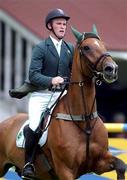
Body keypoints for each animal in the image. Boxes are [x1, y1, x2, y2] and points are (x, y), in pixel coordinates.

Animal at [0, 25, 126, 180]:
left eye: (103, 45)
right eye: (86, 48)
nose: (112, 69)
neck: (83, 120)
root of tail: (6, 122)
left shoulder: (99, 162)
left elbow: (121, 165)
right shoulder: (65, 171)